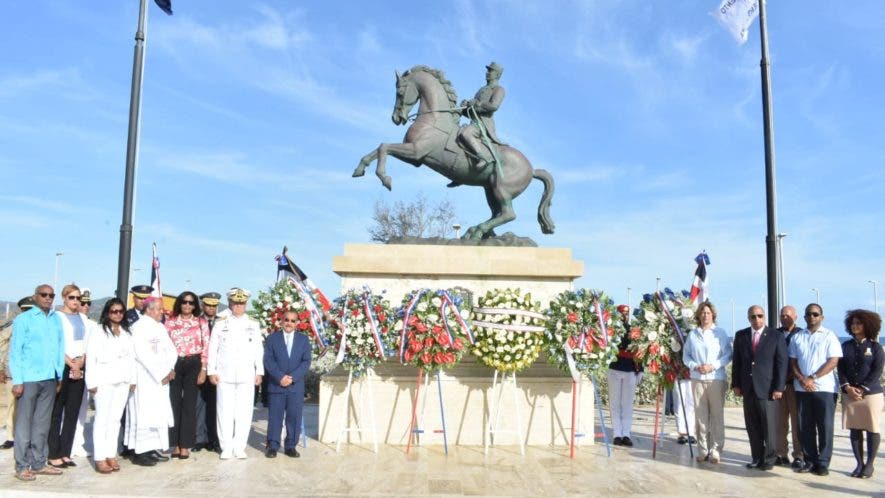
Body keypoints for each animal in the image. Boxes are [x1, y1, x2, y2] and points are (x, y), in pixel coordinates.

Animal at [350, 64, 552, 241]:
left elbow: (384, 147)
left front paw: (385, 179)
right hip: (489, 189)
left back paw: (478, 231)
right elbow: (379, 148)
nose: (396, 118)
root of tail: (531, 169)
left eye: (399, 92)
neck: (434, 119)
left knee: (508, 214)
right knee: (497, 214)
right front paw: (359, 169)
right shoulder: (415, 158)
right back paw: (477, 232)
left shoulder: (415, 152)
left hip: (501, 189)